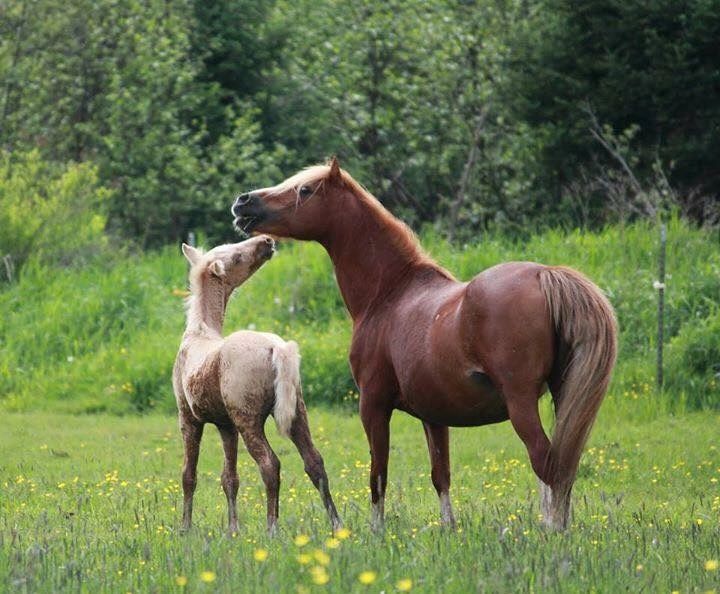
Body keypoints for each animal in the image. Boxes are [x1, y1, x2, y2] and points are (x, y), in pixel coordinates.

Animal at [173, 235, 342, 535]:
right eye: (236, 255)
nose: (267, 240)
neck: (198, 333)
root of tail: (277, 348)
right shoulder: (225, 424)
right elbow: (229, 478)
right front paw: (232, 530)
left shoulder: (188, 417)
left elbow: (188, 475)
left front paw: (185, 528)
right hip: (297, 412)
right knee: (315, 463)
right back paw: (337, 525)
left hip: (248, 419)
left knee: (270, 464)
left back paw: (272, 528)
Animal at [231, 158, 617, 531]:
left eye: (305, 190)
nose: (243, 201)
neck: (390, 293)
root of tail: (544, 273)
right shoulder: (434, 415)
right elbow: (440, 475)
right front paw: (448, 528)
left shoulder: (373, 405)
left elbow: (378, 475)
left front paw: (376, 532)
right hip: (560, 395)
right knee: (561, 466)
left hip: (521, 403)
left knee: (546, 463)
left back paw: (552, 531)